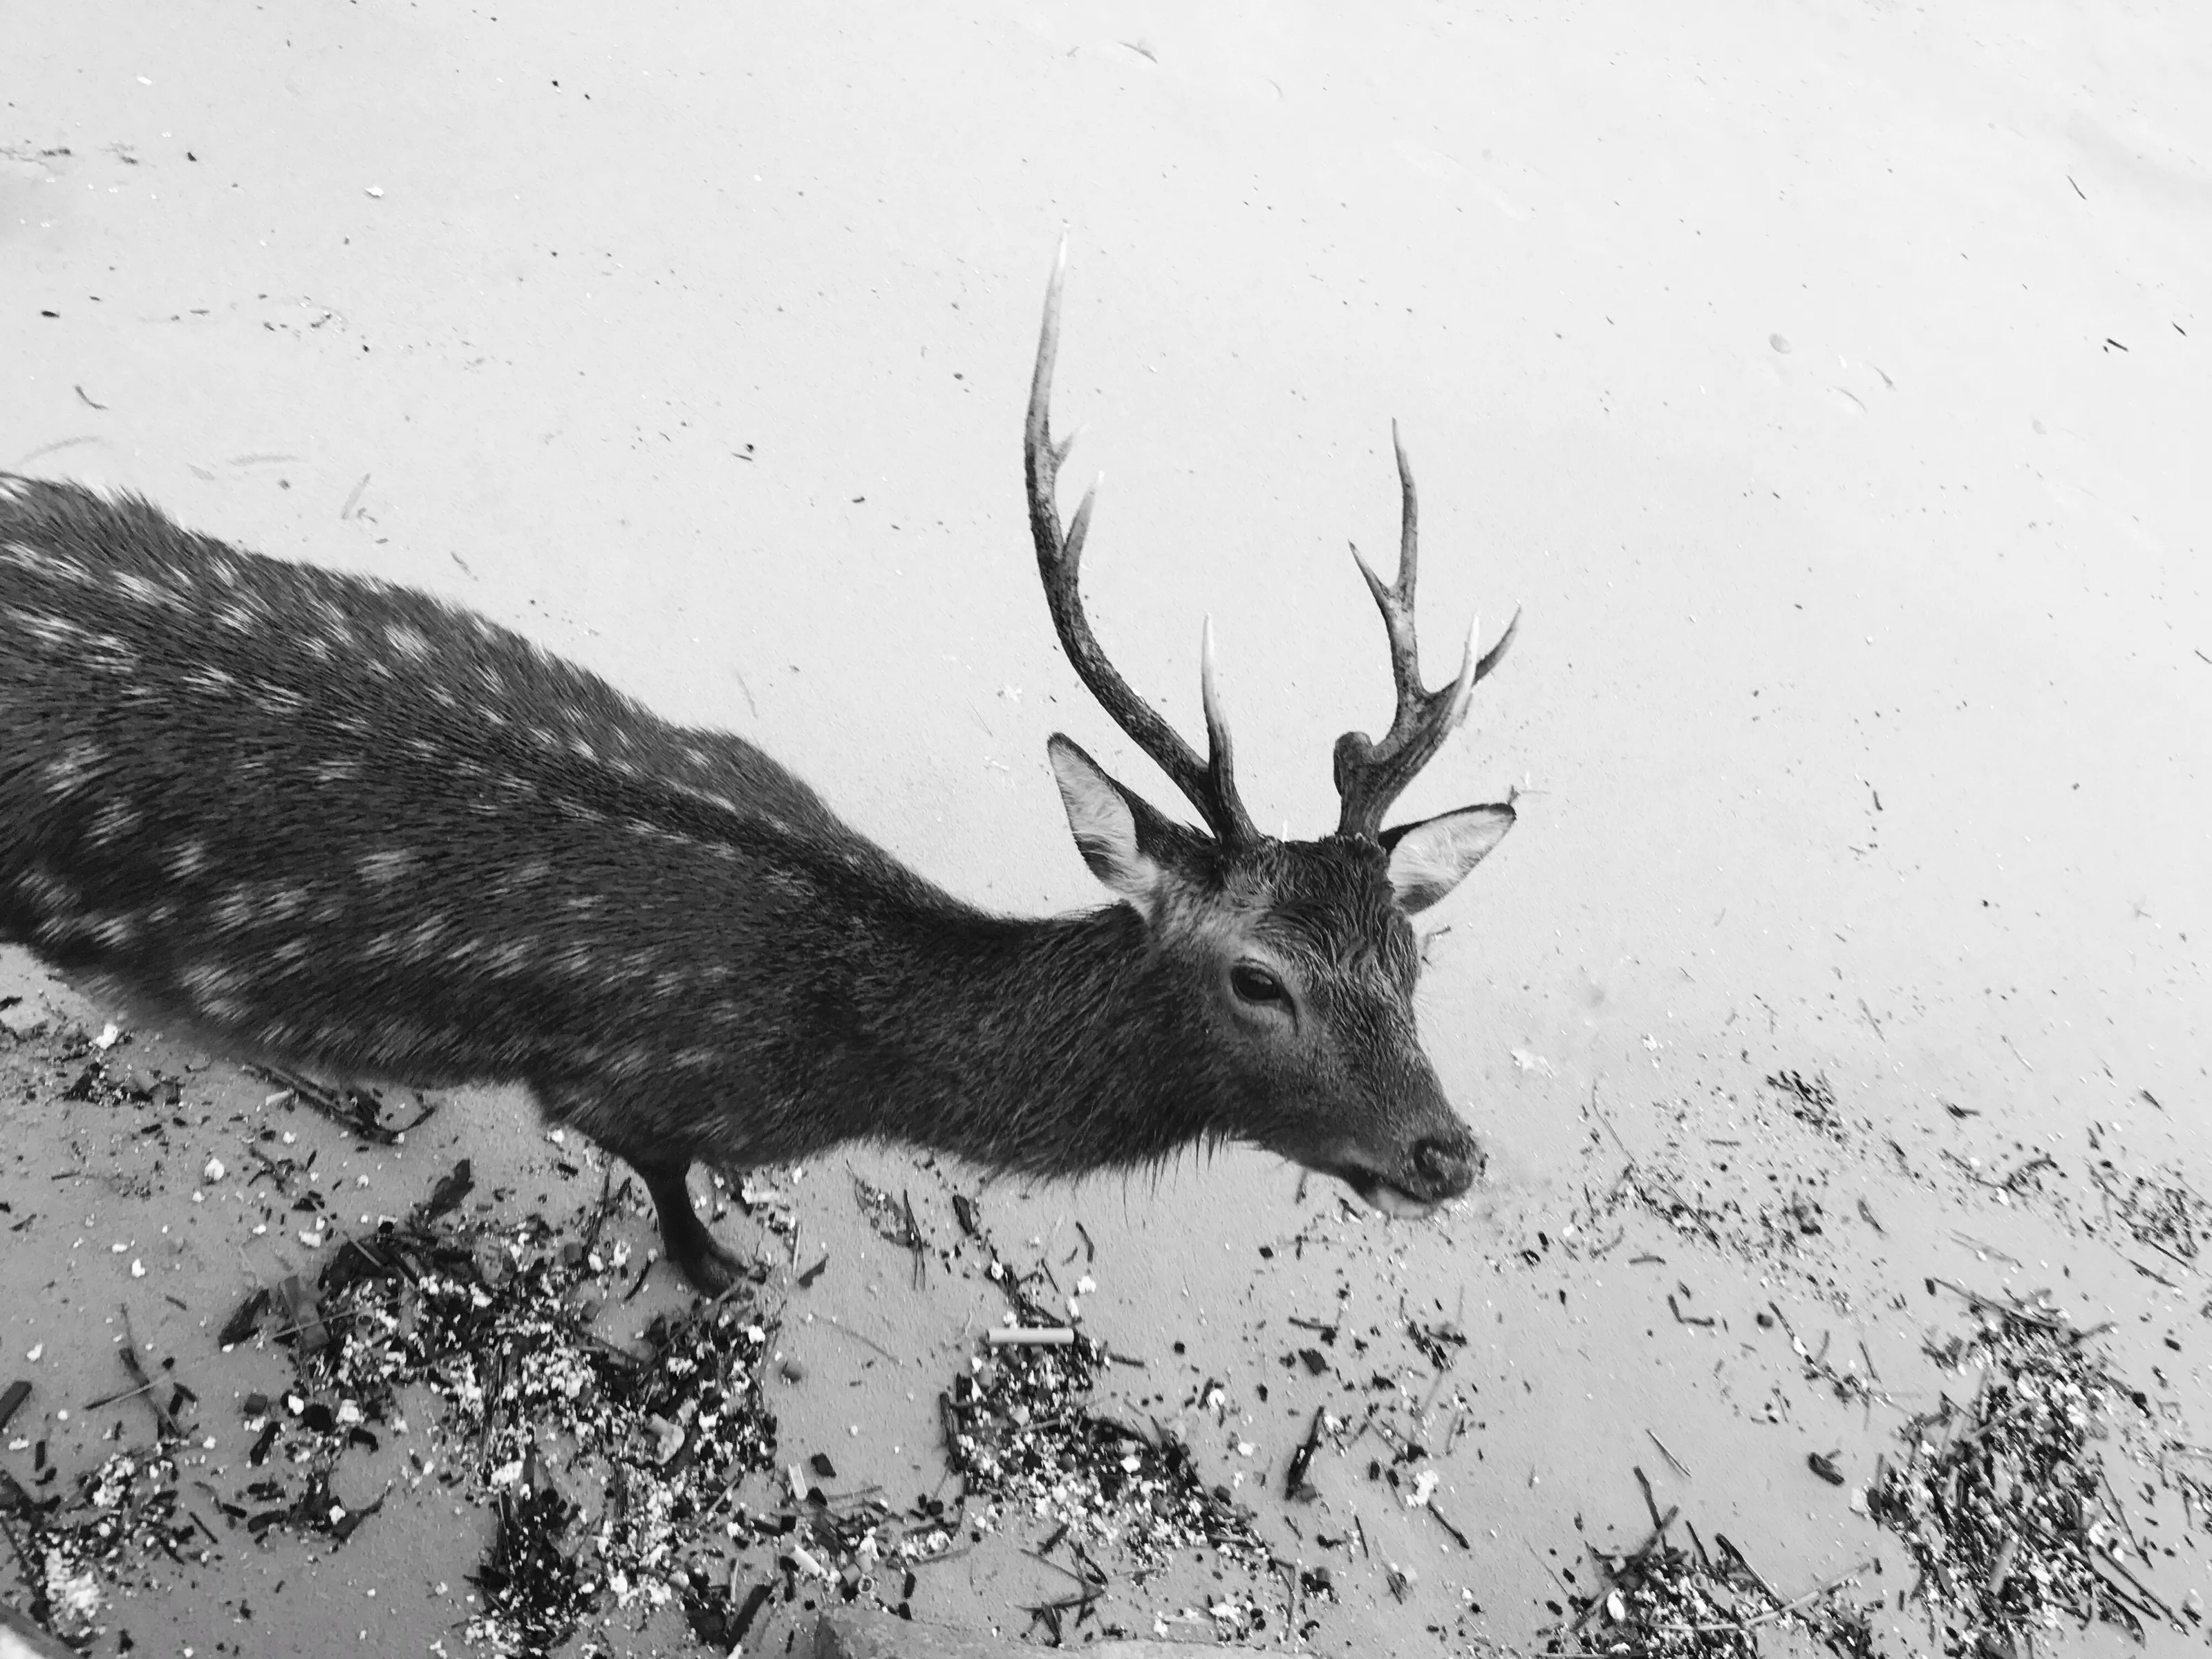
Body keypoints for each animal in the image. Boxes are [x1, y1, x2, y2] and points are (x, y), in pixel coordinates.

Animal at [0, 252, 1519, 1294]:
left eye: (1412, 961)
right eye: (1259, 980)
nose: (1447, 1155)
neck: (837, 1062)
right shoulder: (623, 1080)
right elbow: (668, 1181)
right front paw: (717, 1269)